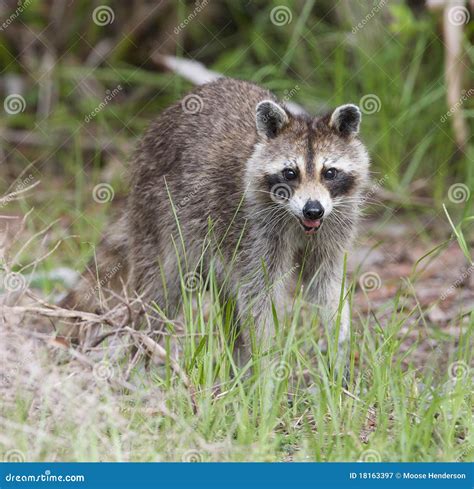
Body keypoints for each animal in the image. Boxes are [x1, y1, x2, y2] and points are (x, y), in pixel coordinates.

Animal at [63, 78, 372, 362]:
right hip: (155, 214)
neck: (295, 220)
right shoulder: (252, 230)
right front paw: (267, 364)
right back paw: (143, 354)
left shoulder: (334, 225)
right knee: (158, 290)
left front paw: (339, 345)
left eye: (329, 173)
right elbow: (258, 297)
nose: (313, 210)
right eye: (290, 173)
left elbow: (327, 285)